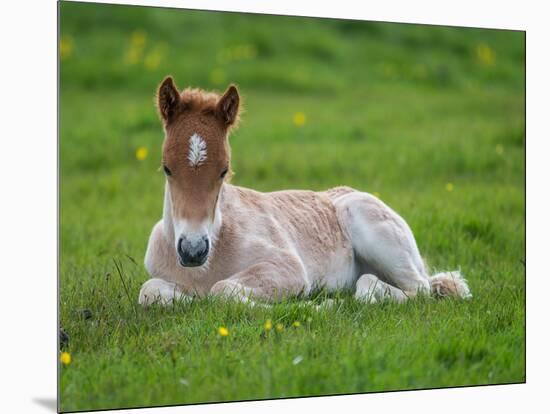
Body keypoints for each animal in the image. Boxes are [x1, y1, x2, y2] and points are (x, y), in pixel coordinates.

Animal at [138, 76, 470, 306]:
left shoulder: (289, 269)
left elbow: (222, 290)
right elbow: (150, 292)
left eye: (224, 170)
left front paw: (319, 306)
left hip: (375, 231)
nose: (193, 250)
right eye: (167, 168)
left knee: (418, 288)